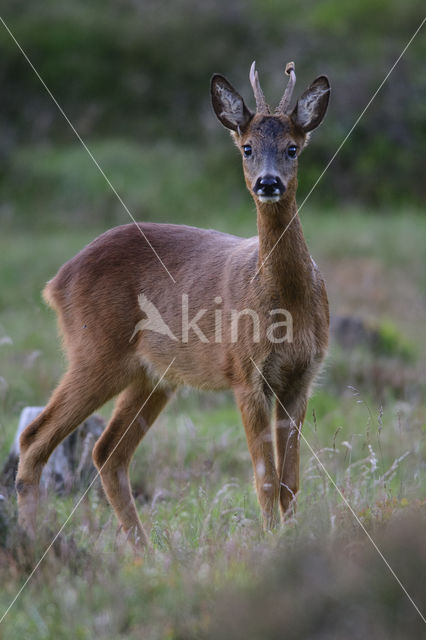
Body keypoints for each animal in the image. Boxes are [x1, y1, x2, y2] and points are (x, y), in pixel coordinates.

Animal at [15, 62, 330, 548]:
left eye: (293, 148)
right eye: (247, 148)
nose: (268, 182)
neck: (287, 303)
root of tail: (56, 281)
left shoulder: (302, 378)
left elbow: (290, 481)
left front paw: (291, 540)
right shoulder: (245, 373)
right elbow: (264, 477)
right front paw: (270, 543)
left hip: (152, 376)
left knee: (107, 451)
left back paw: (143, 551)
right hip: (95, 353)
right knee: (35, 438)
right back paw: (34, 541)